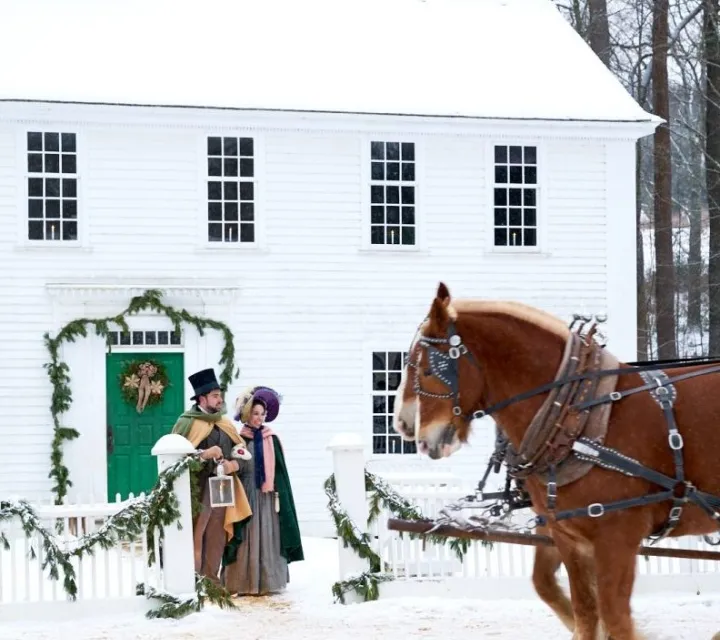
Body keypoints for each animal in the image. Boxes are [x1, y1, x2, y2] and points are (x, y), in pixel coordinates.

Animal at [390, 284, 720, 640]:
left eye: (424, 368)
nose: (404, 426)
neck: (577, 416)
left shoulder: (617, 538)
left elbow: (615, 620)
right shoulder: (568, 537)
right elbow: (581, 611)